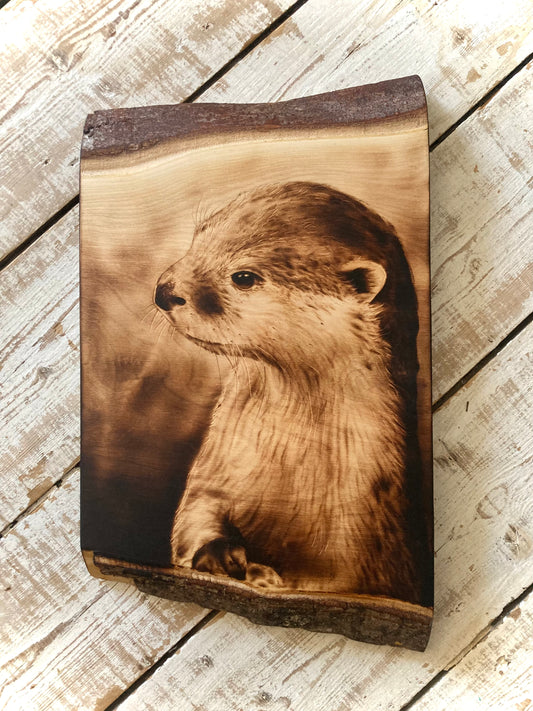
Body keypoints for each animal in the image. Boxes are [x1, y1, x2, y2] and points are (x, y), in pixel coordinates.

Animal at [154, 182, 426, 603]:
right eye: (197, 240)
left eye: (244, 276)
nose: (165, 291)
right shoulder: (212, 475)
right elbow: (194, 519)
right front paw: (220, 554)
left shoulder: (363, 536)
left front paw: (265, 576)